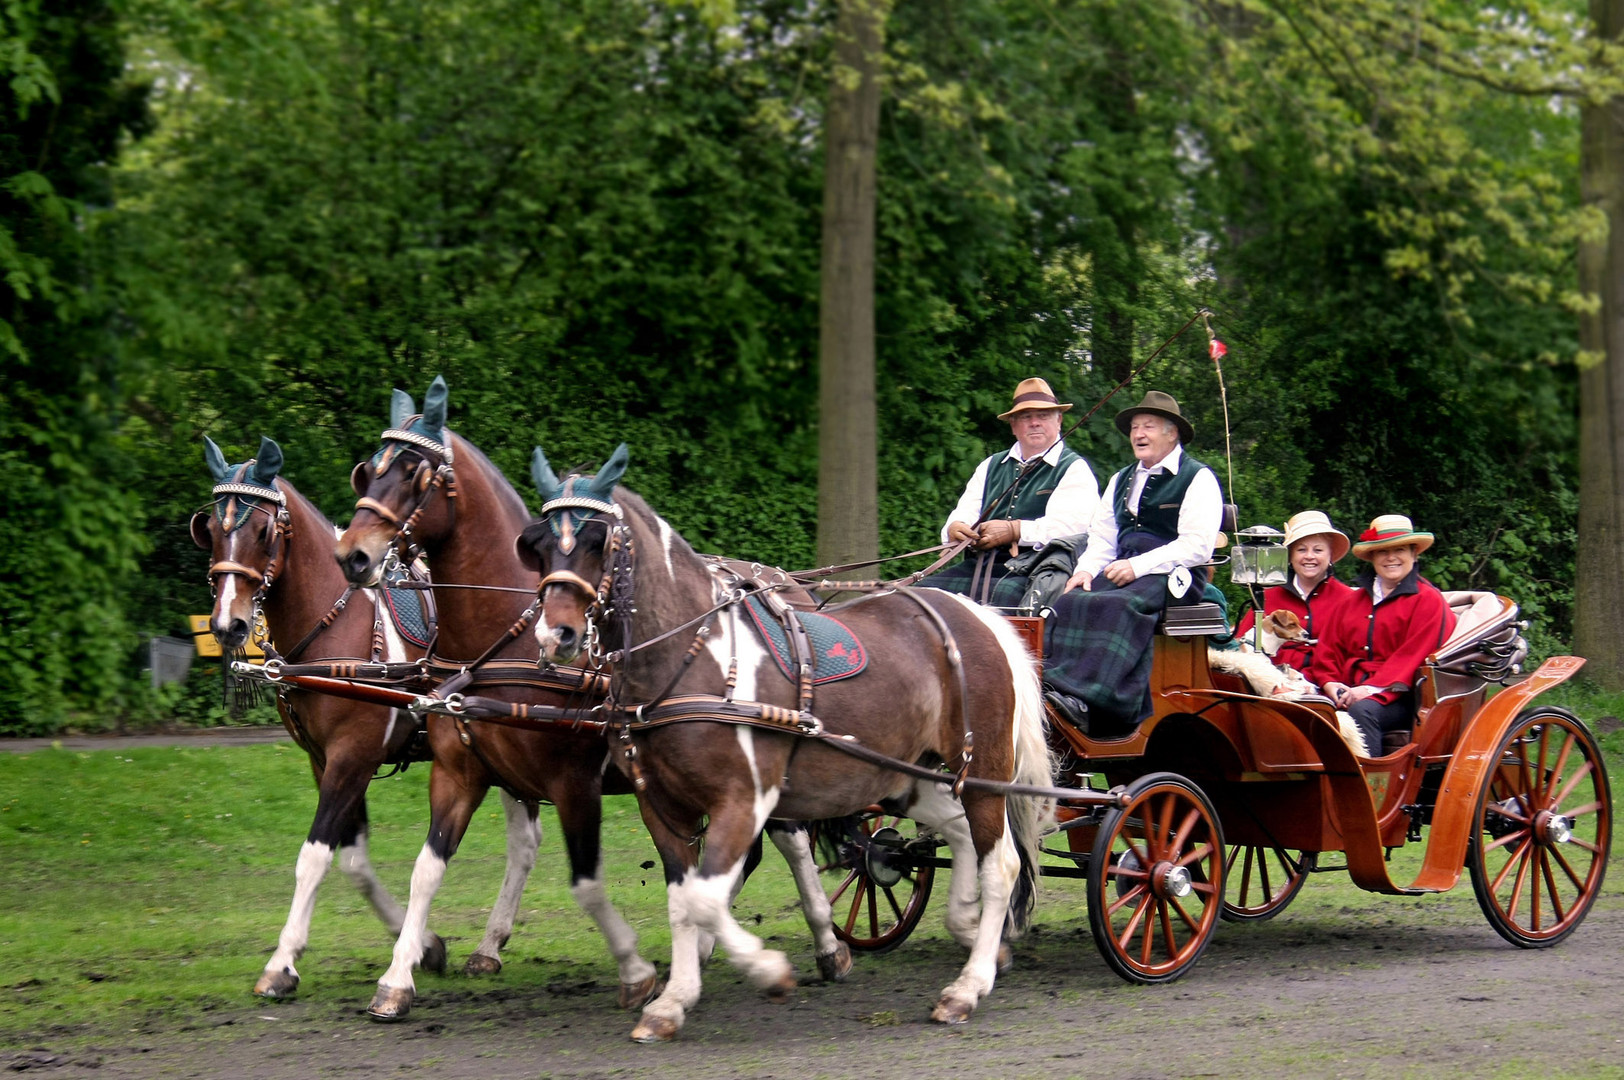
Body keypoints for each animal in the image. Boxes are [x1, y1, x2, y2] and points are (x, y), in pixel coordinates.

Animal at [193, 435, 477, 1000]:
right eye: (210, 529)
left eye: (263, 531)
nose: (228, 624)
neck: (334, 625)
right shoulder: (325, 760)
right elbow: (353, 860)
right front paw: (424, 944)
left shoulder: (353, 756)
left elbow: (314, 856)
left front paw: (281, 962)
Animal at [516, 441, 1052, 1039]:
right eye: (536, 545)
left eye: (596, 540)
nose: (555, 635)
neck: (691, 659)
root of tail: (980, 616)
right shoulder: (661, 805)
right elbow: (683, 902)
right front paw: (672, 1001)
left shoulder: (745, 800)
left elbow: (705, 898)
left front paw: (767, 969)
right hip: (903, 775)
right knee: (959, 833)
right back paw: (968, 926)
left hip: (981, 770)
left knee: (1000, 864)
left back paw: (968, 986)